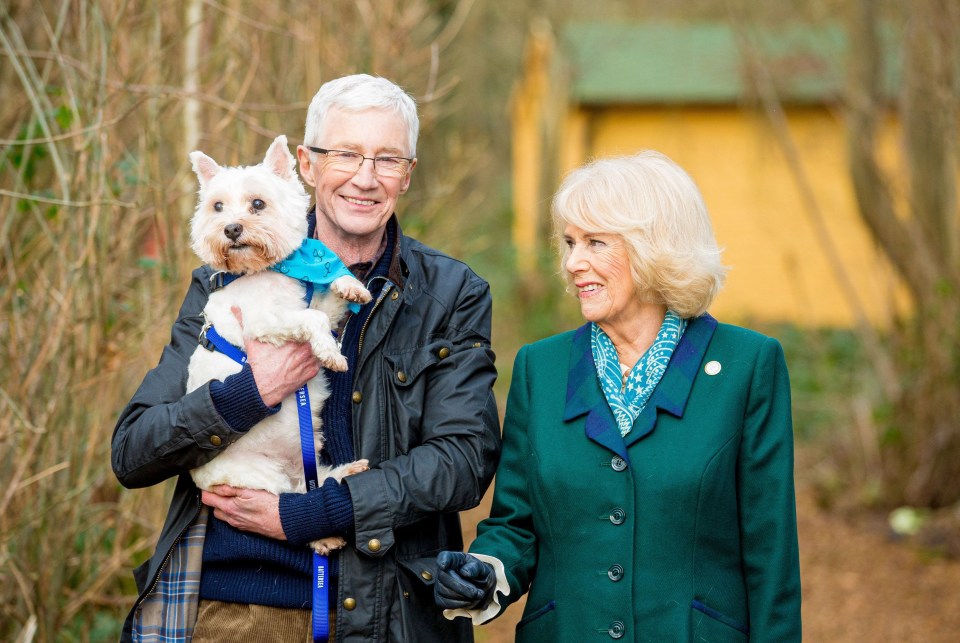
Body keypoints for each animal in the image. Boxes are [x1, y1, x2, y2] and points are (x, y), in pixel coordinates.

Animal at [186, 135, 370, 552]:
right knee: (292, 503)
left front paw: (351, 284)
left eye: (258, 203)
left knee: (318, 485)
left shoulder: (307, 301)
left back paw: (350, 470)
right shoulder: (265, 322)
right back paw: (325, 537)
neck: (264, 269)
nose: (231, 228)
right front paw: (331, 353)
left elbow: (329, 302)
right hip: (259, 477)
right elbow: (314, 320)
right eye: (217, 206)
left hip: (308, 458)